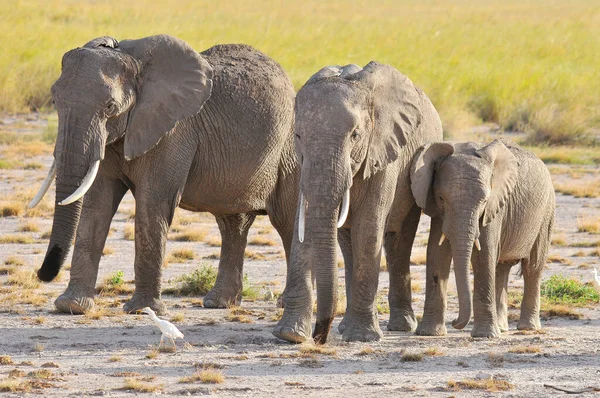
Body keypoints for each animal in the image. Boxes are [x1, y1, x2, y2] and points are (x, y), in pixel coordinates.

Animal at [29, 34, 298, 314]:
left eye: (110, 106)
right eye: (54, 101)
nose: (42, 274)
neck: (133, 61)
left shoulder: (173, 132)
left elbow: (152, 204)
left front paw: (141, 310)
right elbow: (96, 207)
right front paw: (72, 306)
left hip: (289, 150)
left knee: (286, 220)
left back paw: (284, 303)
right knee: (232, 223)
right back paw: (218, 303)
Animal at [274, 61, 442, 342]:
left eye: (355, 135)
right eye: (297, 136)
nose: (319, 337)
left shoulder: (384, 150)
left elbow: (368, 228)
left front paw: (363, 337)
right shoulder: (302, 165)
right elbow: (304, 225)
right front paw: (290, 335)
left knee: (399, 240)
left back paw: (399, 326)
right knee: (346, 241)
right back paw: (345, 327)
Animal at [410, 138, 556, 338]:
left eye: (484, 201)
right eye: (441, 198)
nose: (455, 323)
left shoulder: (495, 207)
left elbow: (484, 255)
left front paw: (485, 336)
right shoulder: (439, 213)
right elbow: (436, 253)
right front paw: (430, 333)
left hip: (545, 213)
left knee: (532, 267)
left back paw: (527, 327)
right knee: (501, 268)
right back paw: (502, 327)